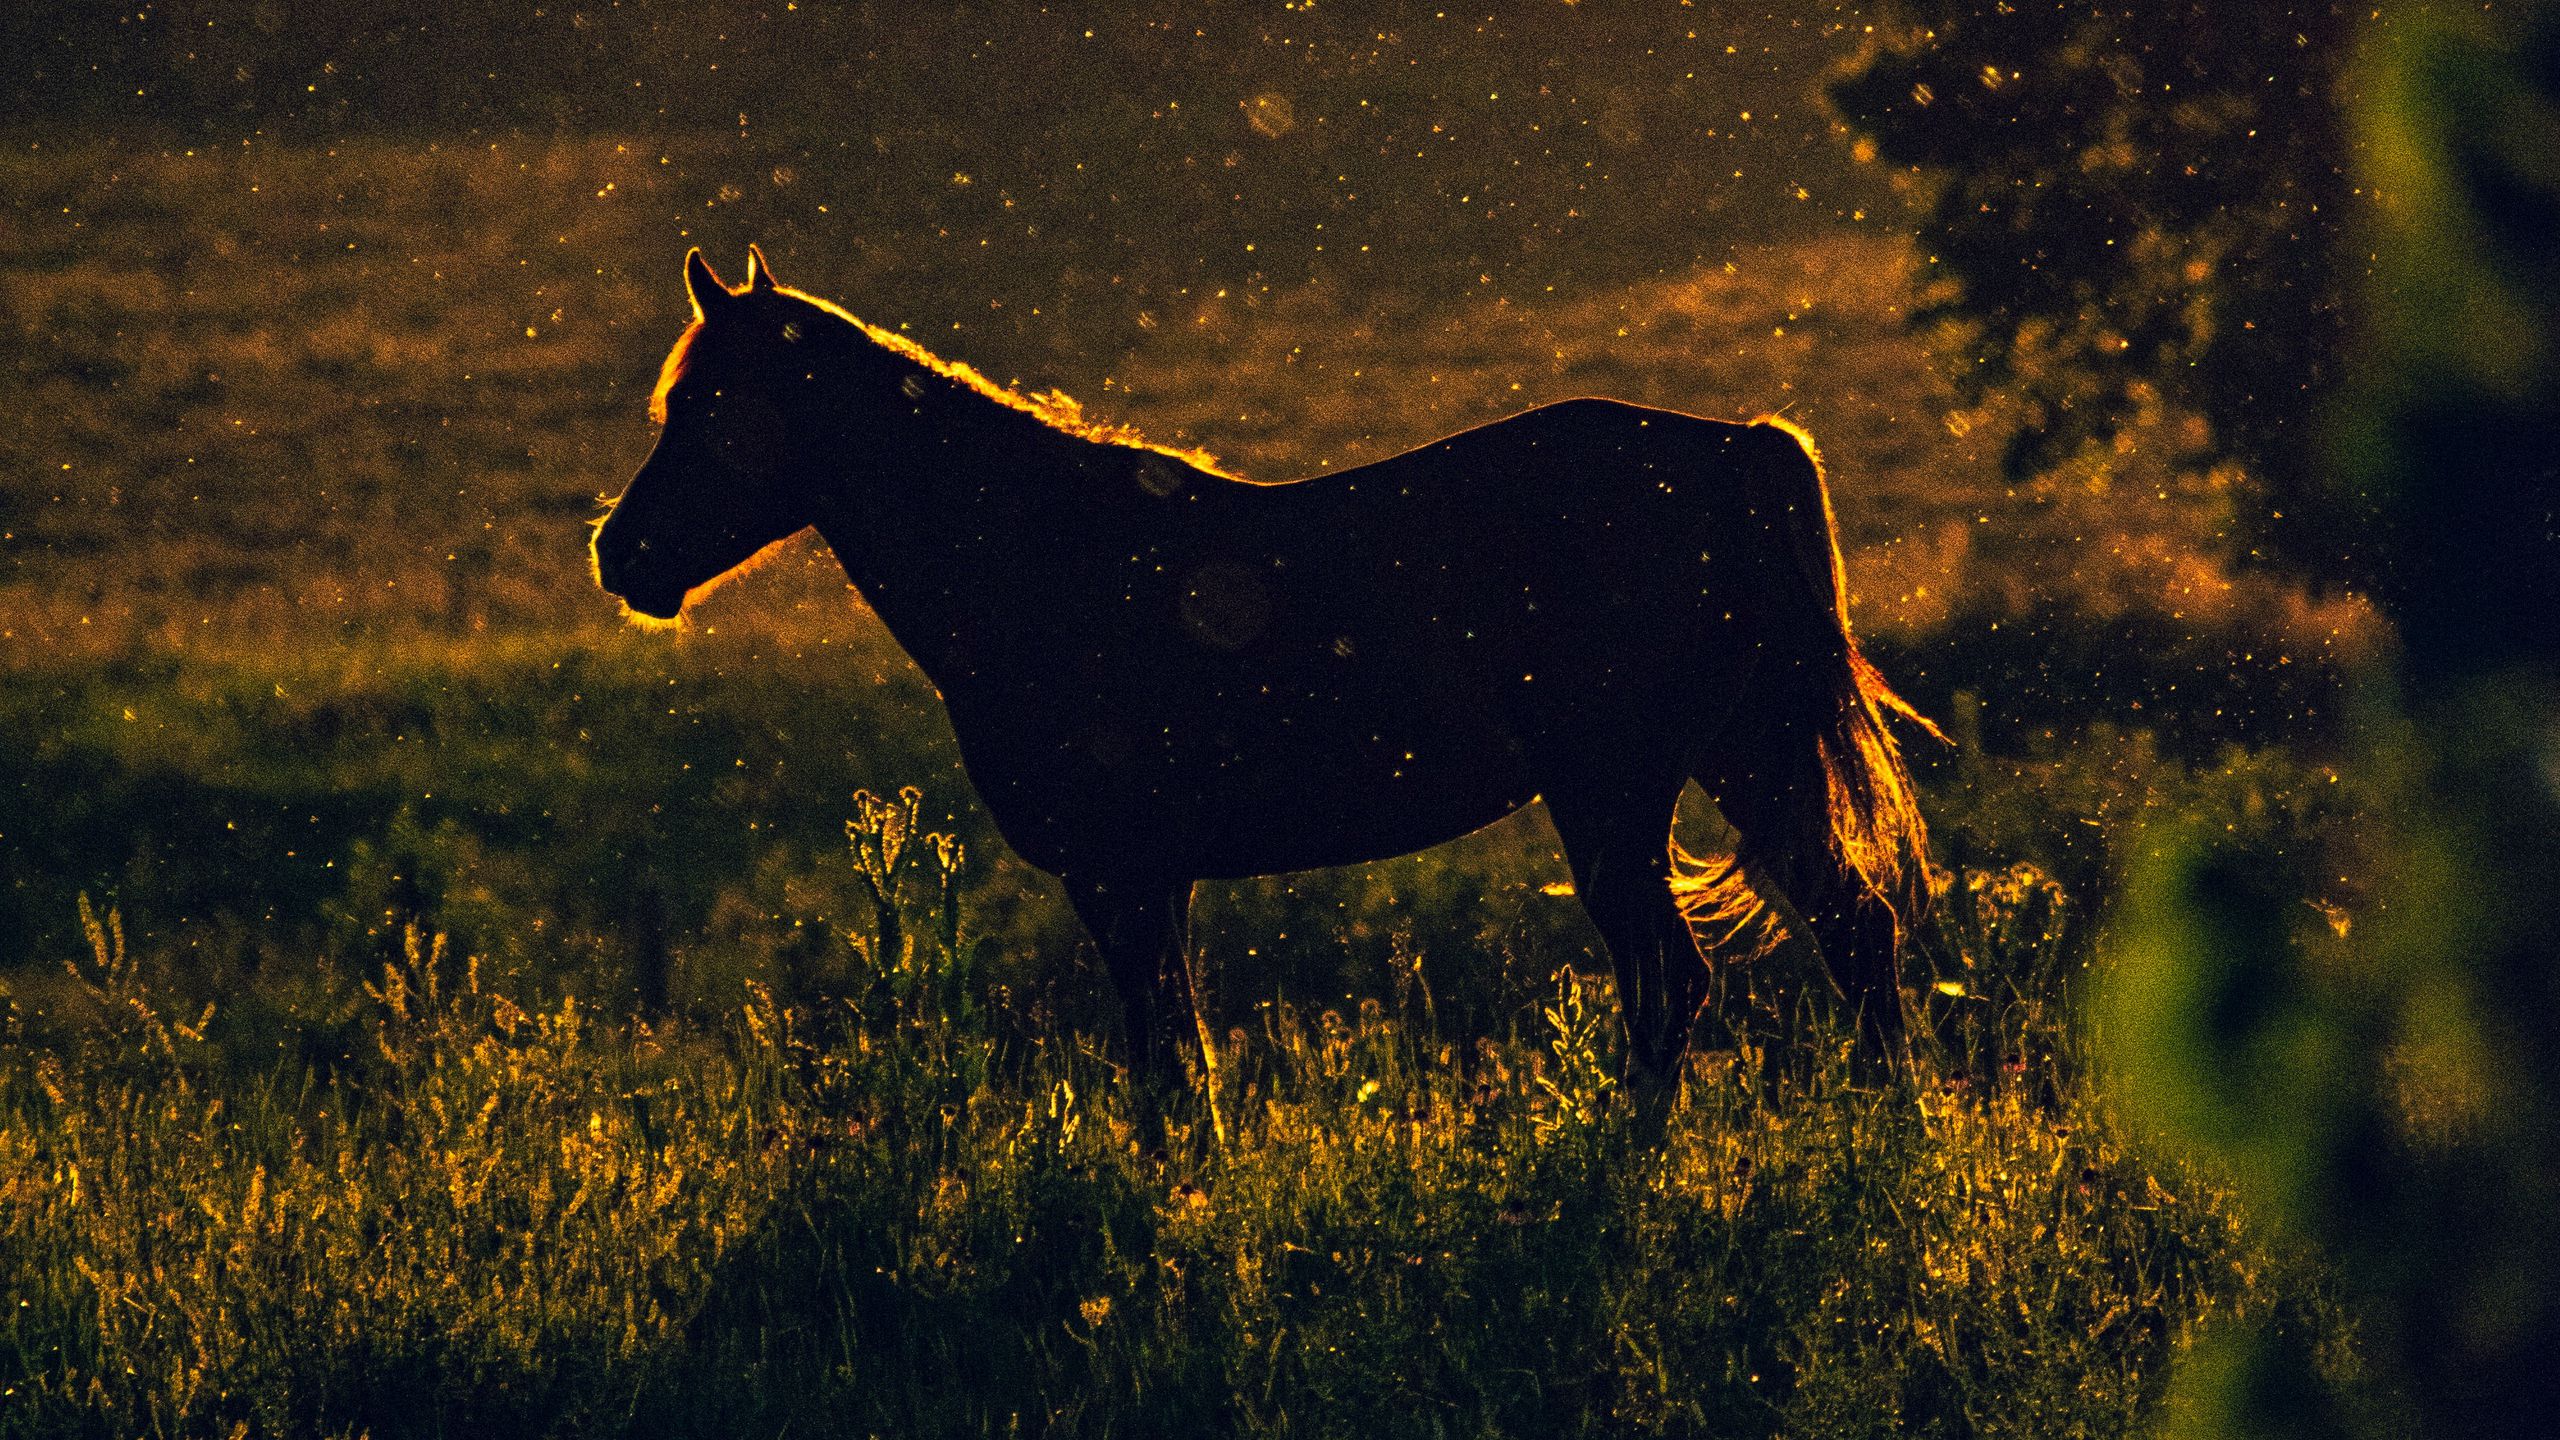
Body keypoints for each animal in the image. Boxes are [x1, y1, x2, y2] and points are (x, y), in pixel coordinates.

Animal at [586, 240, 1935, 1081]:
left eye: (705, 408)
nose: (621, 554)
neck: (1043, 558)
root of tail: (1736, 451)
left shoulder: (1123, 878)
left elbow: (1166, 1066)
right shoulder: (1152, 881)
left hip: (1616, 794)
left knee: (1673, 984)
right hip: (1744, 759)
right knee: (1854, 936)